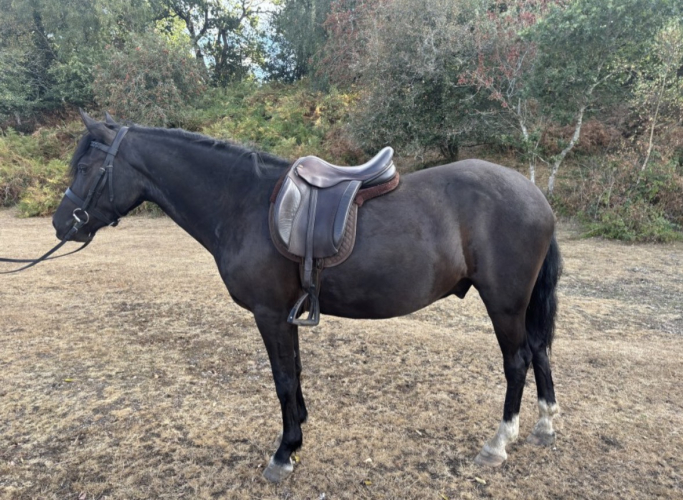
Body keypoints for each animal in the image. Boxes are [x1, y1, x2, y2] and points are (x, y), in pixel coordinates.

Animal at [52, 110, 562, 482]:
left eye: (85, 167)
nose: (60, 224)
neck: (242, 203)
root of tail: (535, 194)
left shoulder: (269, 313)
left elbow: (281, 379)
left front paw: (284, 452)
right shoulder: (286, 314)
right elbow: (294, 373)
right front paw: (299, 428)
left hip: (504, 303)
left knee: (517, 360)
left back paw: (499, 443)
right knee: (540, 351)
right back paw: (544, 424)